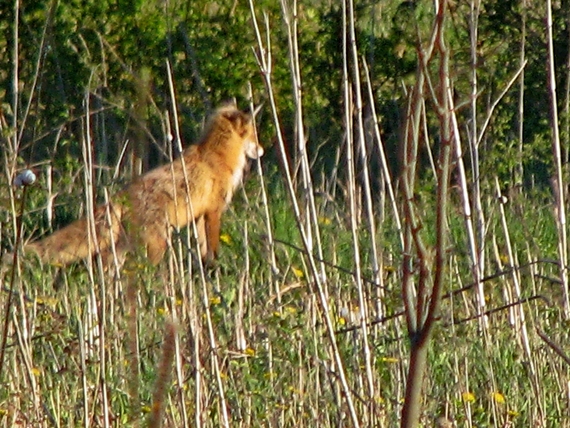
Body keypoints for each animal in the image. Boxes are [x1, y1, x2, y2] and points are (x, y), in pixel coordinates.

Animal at [11, 103, 264, 268]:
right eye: (254, 136)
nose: (261, 151)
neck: (218, 157)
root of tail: (119, 196)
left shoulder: (200, 215)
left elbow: (203, 248)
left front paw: (205, 270)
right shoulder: (213, 210)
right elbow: (212, 247)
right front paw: (214, 270)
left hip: (125, 243)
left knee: (108, 264)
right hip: (157, 242)